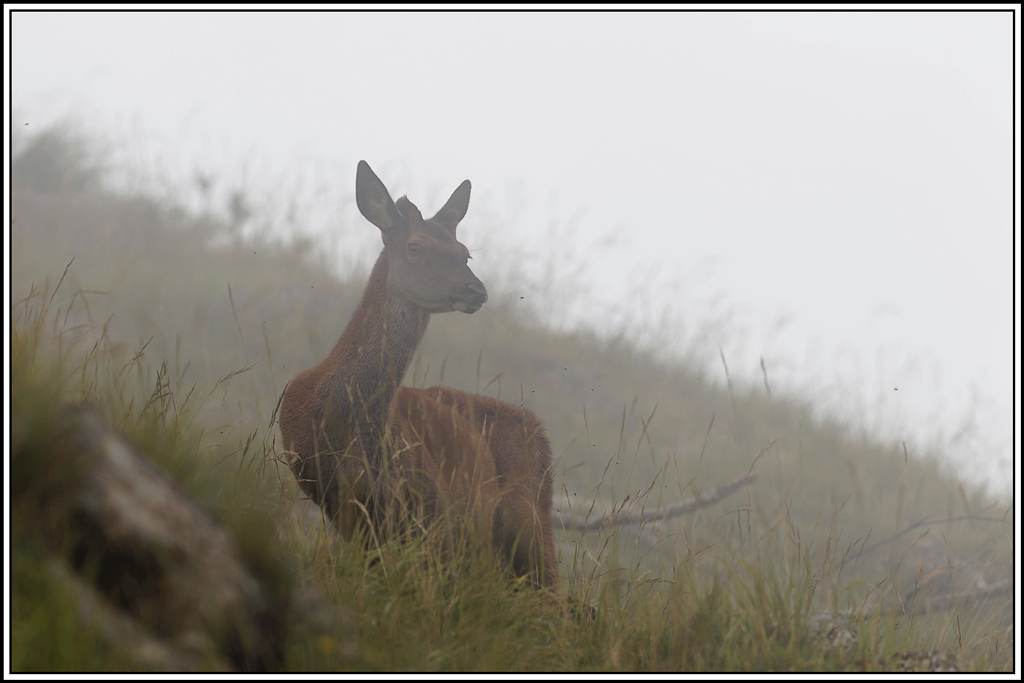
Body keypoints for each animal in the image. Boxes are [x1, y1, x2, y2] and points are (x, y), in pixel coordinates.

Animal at [279, 161, 559, 590]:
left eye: (465, 253)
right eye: (415, 247)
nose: (475, 290)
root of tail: (541, 432)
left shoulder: (433, 510)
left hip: (530, 521)